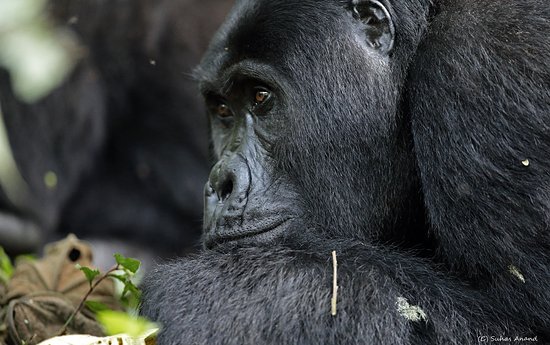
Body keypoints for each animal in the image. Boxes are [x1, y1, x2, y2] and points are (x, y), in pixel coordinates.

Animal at [142, 0, 550, 342]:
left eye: (260, 96)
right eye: (223, 110)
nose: (220, 182)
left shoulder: (484, 62)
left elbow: (512, 323)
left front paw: (207, 294)